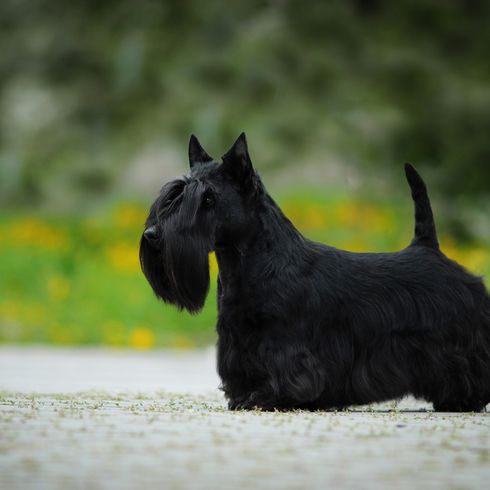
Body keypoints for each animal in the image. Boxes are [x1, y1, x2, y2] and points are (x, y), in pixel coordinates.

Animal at [139, 132, 490, 412]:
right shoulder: (236, 339)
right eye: (171, 196)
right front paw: (242, 396)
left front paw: (265, 398)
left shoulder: (286, 341)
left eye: (208, 198)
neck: (247, 264)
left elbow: (287, 374)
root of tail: (428, 248)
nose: (153, 235)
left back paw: (462, 399)